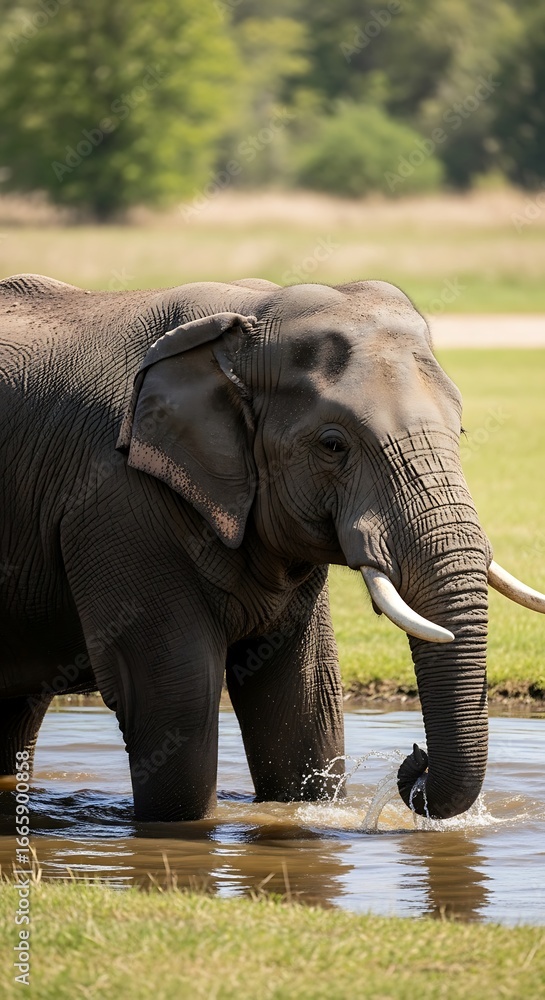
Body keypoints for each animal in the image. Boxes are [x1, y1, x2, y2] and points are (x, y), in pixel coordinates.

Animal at [0, 272, 543, 823]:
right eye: (332, 445)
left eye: (461, 430)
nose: (415, 757)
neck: (247, 317)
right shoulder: (117, 503)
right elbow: (176, 698)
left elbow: (304, 698)